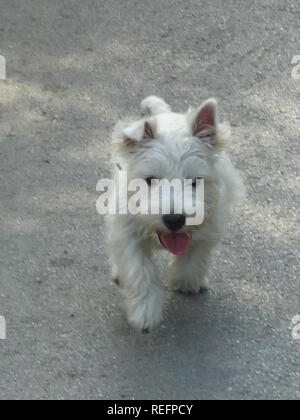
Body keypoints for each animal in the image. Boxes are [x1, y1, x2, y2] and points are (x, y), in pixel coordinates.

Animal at [106, 96, 243, 332]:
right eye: (150, 179)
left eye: (195, 181)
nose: (174, 219)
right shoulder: (126, 232)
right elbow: (139, 270)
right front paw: (144, 313)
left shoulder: (209, 225)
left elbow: (194, 257)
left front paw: (186, 281)